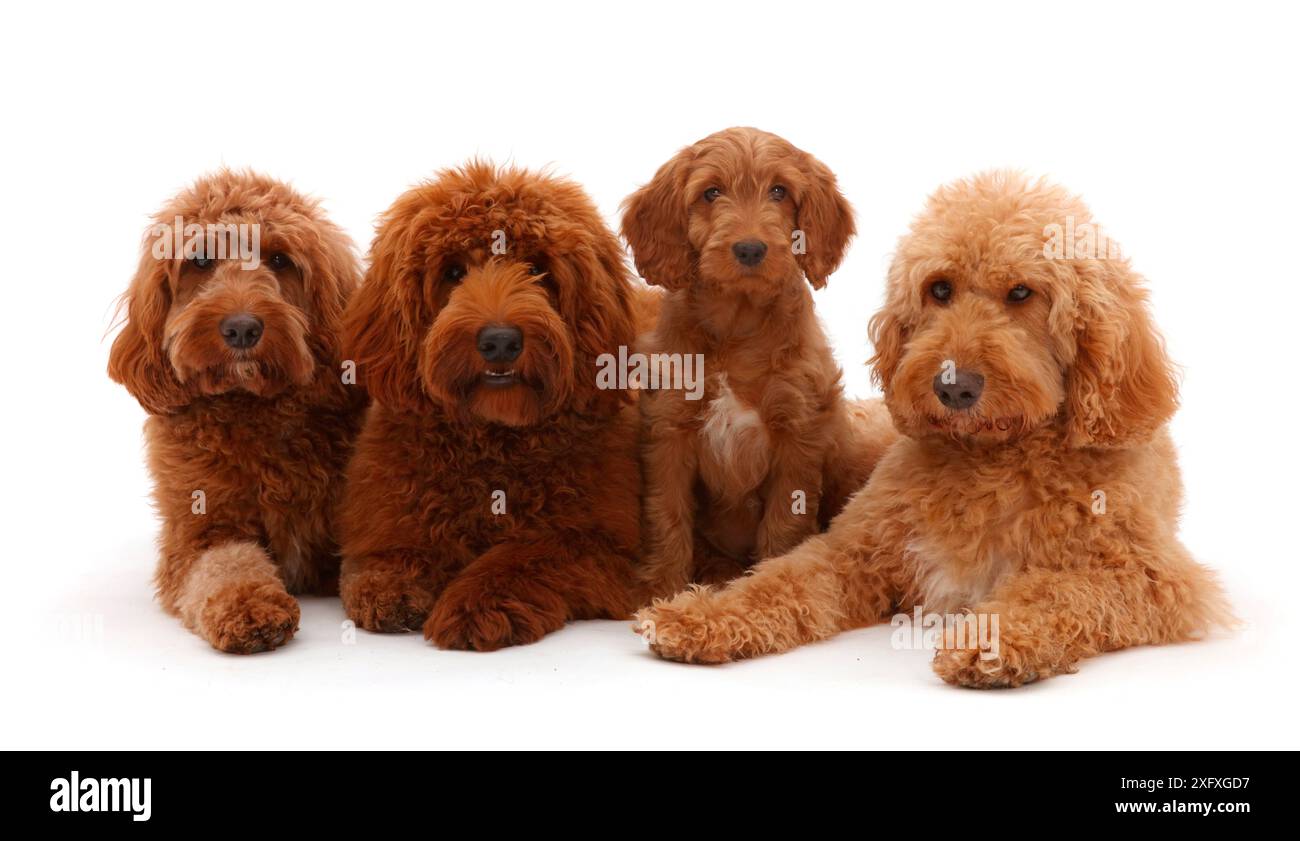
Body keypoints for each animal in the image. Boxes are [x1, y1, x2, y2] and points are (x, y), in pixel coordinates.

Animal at [107, 171, 366, 655]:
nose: (242, 328)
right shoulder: (200, 532)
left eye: (280, 260)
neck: (252, 405)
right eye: (200, 260)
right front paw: (250, 607)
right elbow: (226, 565)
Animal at [338, 163, 647, 652]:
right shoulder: (388, 508)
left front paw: (477, 603)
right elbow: (386, 551)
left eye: (537, 269)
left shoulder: (608, 547)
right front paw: (391, 582)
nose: (500, 341)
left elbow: (531, 554)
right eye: (453, 270)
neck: (493, 444)